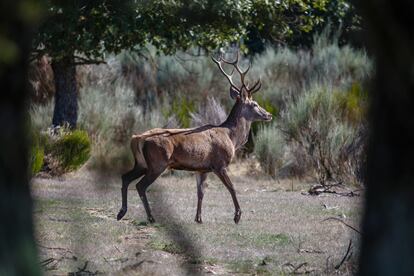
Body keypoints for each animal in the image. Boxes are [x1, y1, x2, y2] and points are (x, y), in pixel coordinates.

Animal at [116, 51, 272, 224]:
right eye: (254, 104)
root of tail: (136, 138)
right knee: (140, 186)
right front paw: (237, 216)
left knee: (125, 177)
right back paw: (150, 217)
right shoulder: (219, 164)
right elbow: (232, 188)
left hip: (141, 163)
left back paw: (121, 212)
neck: (231, 137)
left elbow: (200, 192)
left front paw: (198, 218)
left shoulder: (202, 168)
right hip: (158, 163)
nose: (269, 114)